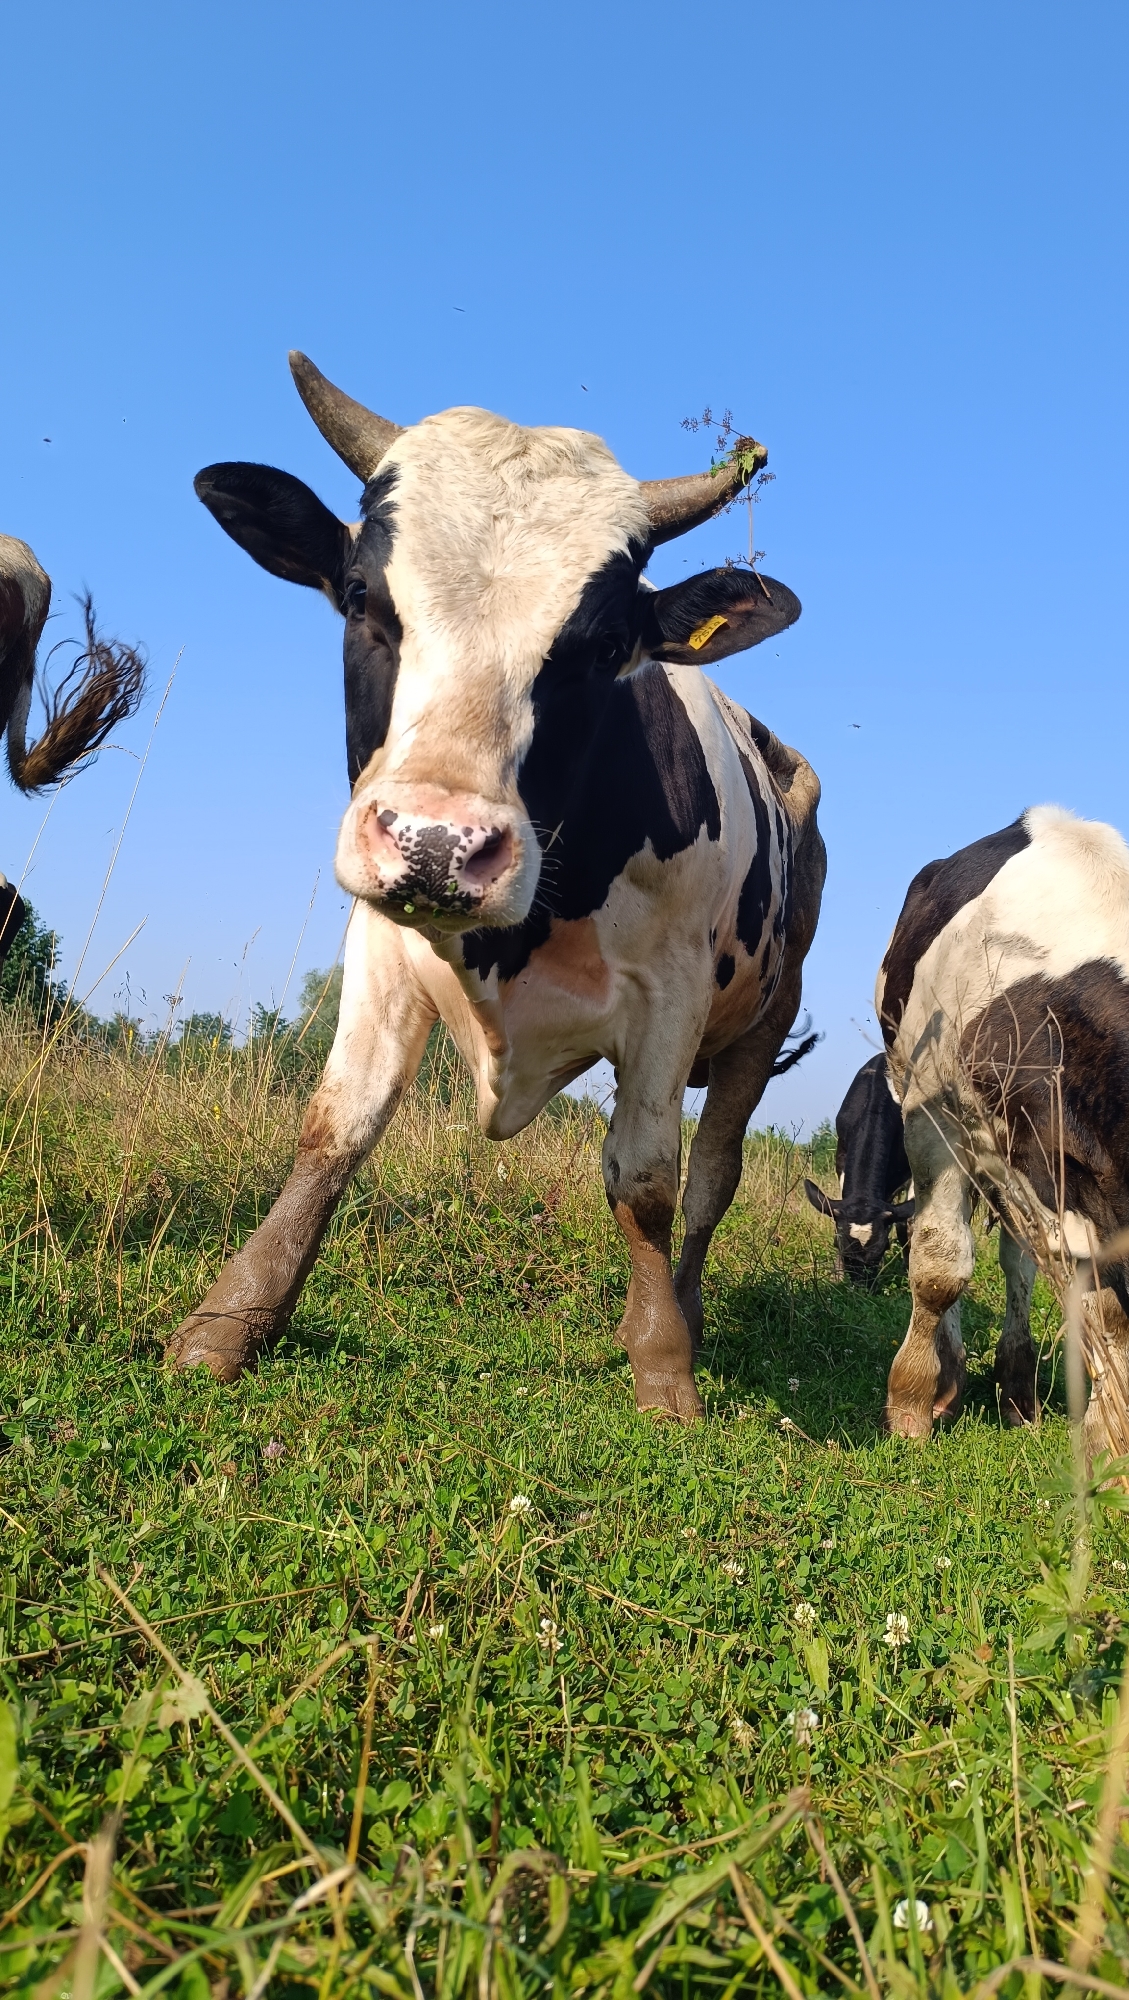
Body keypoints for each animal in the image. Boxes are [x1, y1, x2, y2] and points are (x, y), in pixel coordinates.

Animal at [169, 353, 826, 1422]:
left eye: (602, 645)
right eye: (361, 595)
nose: (440, 844)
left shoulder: (671, 995)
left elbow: (645, 1182)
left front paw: (663, 1369)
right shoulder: (381, 937)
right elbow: (335, 1128)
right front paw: (230, 1321)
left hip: (760, 1024)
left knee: (708, 1183)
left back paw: (681, 1312)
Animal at [877, 807, 1129, 1461]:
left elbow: (1105, 1310)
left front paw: (1105, 1441)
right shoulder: (931, 1118)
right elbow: (939, 1267)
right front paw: (911, 1401)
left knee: (1019, 1266)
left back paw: (1017, 1394)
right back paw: (950, 1378)